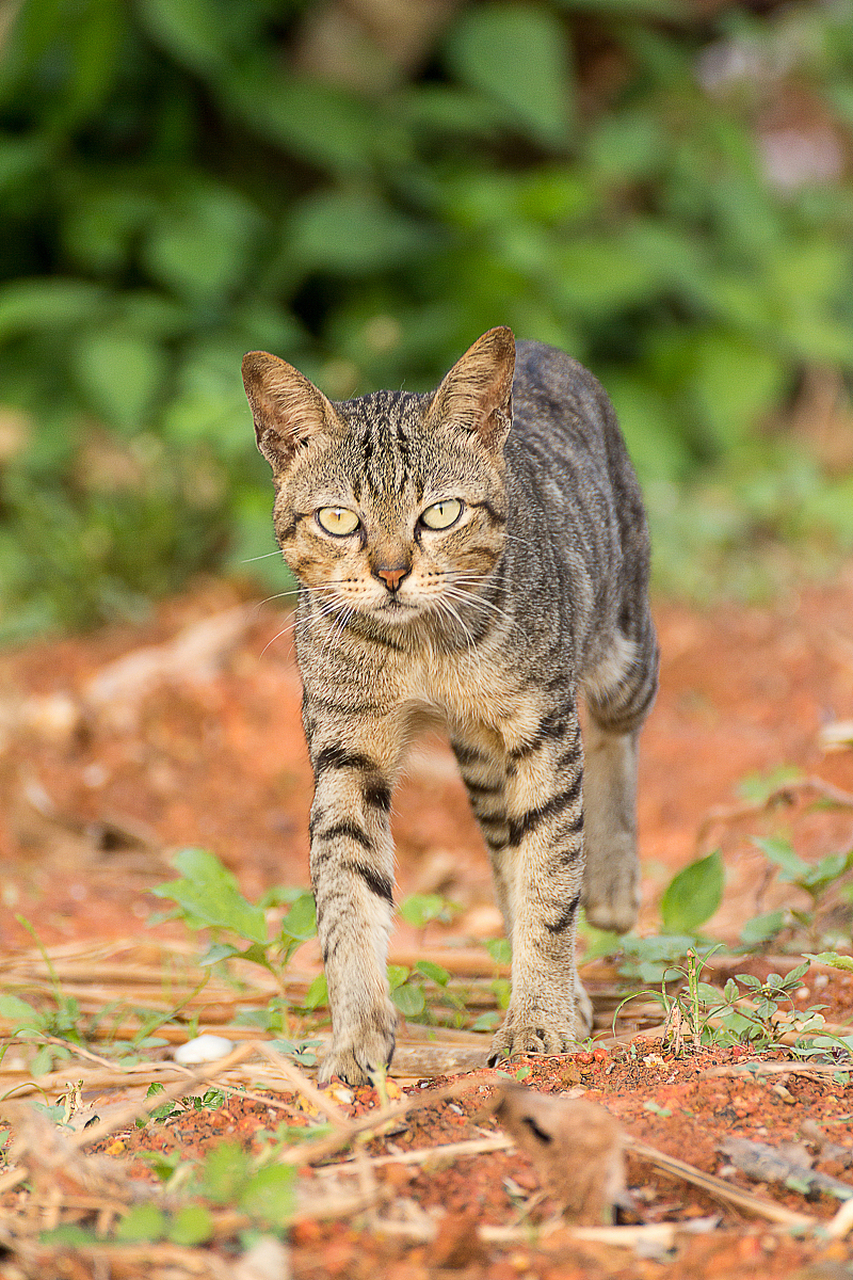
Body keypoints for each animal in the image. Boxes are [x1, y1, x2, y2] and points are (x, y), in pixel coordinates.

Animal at [240, 327, 655, 1080]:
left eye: (440, 513)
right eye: (339, 519)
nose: (391, 572)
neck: (420, 647)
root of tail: (542, 346)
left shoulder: (544, 729)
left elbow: (552, 879)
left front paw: (538, 1020)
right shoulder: (348, 752)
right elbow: (345, 893)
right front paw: (355, 1036)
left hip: (622, 647)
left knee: (616, 736)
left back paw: (611, 888)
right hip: (482, 760)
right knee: (504, 852)